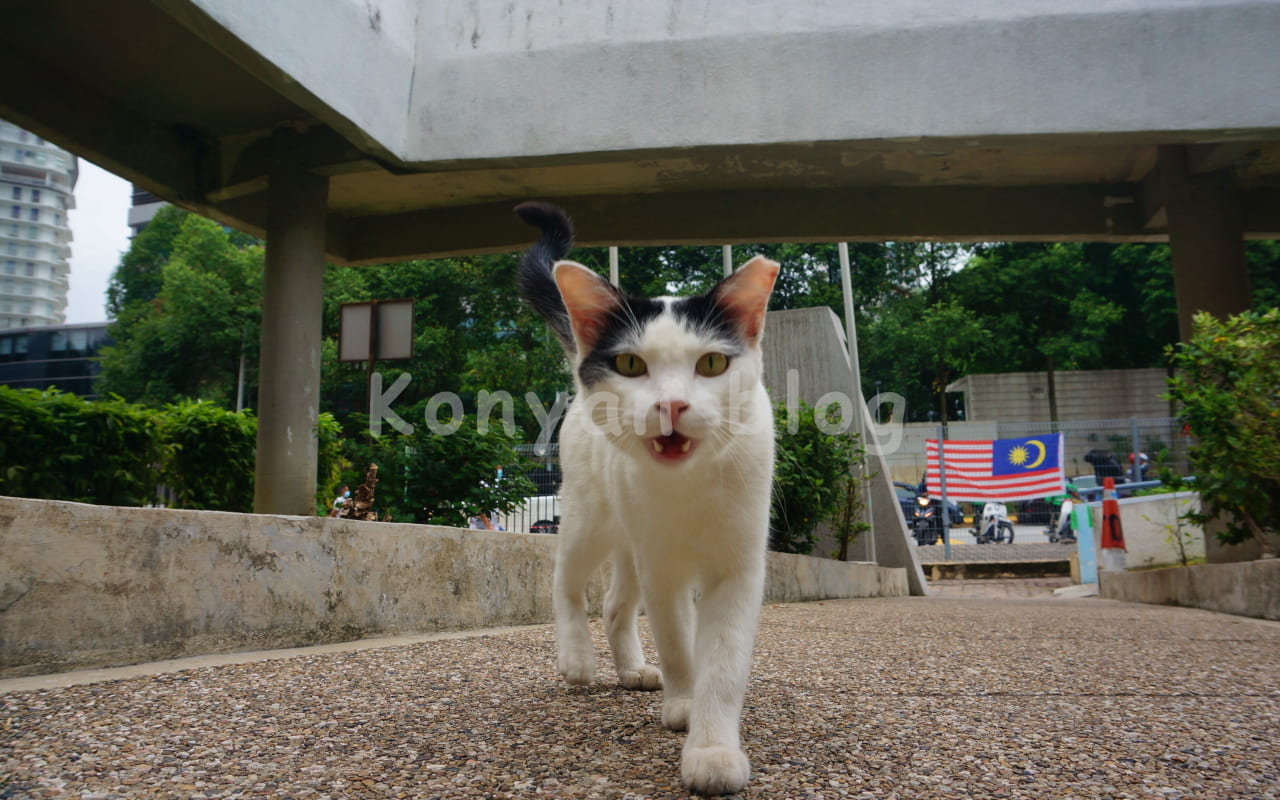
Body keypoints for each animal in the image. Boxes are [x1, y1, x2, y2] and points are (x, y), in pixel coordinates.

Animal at [512, 200, 773, 793]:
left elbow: (722, 662)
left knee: (613, 604)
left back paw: (631, 669)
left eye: (712, 364)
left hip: (629, 545)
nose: (671, 405)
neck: (687, 485)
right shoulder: (662, 567)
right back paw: (579, 659)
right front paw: (684, 703)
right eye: (631, 365)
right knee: (565, 581)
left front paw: (713, 748)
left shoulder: (738, 568)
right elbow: (677, 642)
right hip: (590, 517)